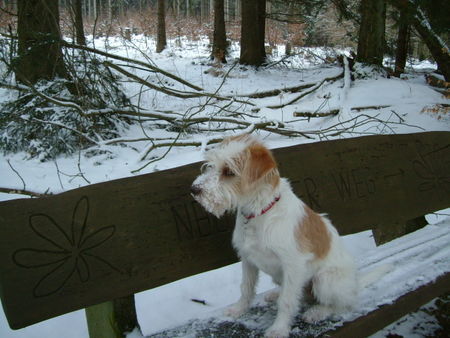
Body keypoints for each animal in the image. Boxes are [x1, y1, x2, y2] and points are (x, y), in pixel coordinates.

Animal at [190, 135, 384, 338]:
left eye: (229, 172)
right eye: (211, 165)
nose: (194, 189)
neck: (259, 212)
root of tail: (354, 284)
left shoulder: (293, 265)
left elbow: (287, 301)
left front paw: (279, 329)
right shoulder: (248, 259)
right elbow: (246, 288)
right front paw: (238, 309)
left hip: (324, 280)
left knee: (343, 304)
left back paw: (318, 312)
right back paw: (276, 293)